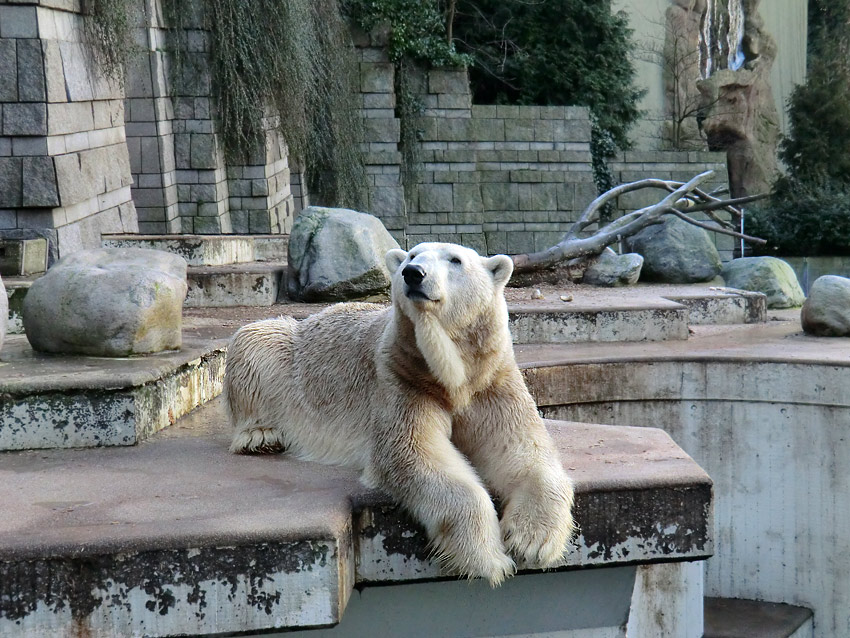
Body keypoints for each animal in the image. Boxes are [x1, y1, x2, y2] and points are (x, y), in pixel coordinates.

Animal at [222, 242, 572, 588]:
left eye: (455, 260)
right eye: (412, 255)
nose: (413, 273)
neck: (452, 376)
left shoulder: (491, 381)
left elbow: (519, 449)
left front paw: (532, 542)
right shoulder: (402, 378)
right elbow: (413, 453)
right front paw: (488, 557)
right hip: (289, 351)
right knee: (256, 340)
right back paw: (260, 436)